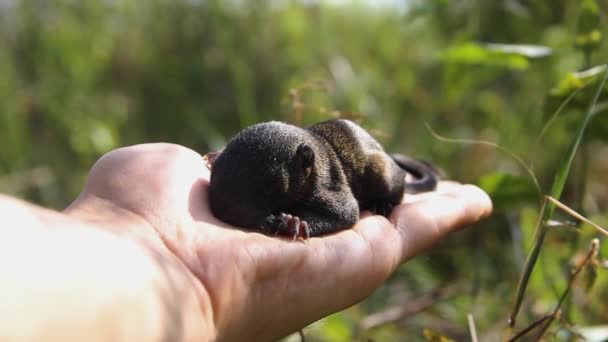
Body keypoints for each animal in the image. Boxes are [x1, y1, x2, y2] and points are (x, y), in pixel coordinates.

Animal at [208, 119, 436, 239]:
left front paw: (294, 223)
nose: (226, 210)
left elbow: (345, 212)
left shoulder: (329, 187)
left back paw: (383, 203)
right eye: (215, 173)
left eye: (271, 185)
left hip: (381, 171)